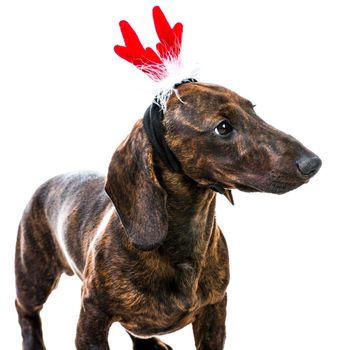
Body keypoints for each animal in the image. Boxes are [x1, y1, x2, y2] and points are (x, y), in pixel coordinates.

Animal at [14, 80, 322, 348]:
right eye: (223, 127)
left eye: (253, 109)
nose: (314, 163)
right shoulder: (92, 318)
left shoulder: (214, 311)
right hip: (33, 277)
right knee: (26, 313)